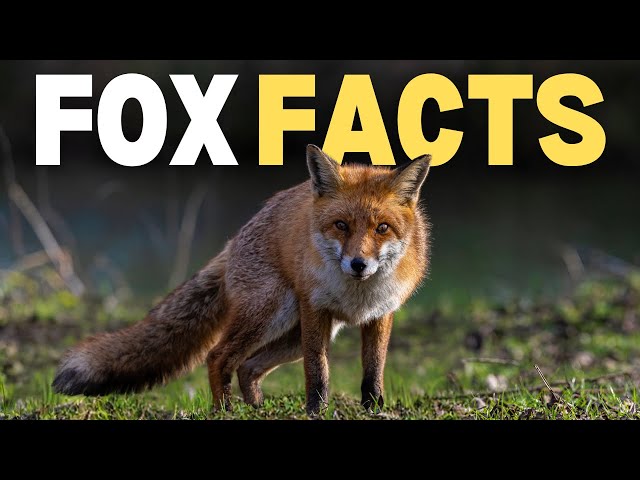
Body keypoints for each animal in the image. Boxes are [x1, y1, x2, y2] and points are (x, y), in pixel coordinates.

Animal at [53, 145, 432, 415]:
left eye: (382, 228)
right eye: (341, 225)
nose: (358, 264)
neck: (357, 296)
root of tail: (233, 240)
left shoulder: (381, 314)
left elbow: (373, 370)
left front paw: (374, 409)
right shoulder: (315, 309)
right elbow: (317, 372)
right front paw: (316, 411)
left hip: (294, 334)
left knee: (248, 366)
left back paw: (257, 409)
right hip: (273, 315)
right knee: (219, 357)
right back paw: (226, 410)